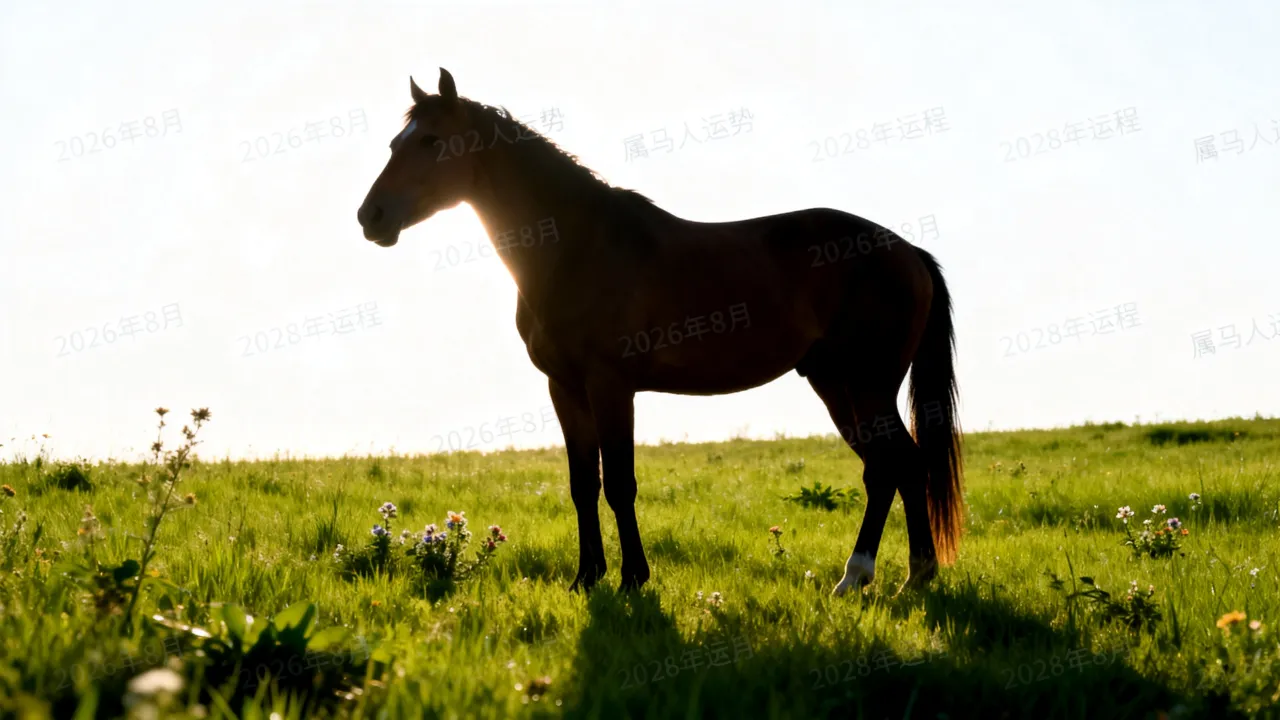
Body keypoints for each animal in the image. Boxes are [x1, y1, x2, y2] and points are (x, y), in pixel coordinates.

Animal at [356, 68, 964, 596]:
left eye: (431, 141)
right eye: (393, 142)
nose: (371, 217)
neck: (574, 249)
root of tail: (908, 252)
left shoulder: (610, 386)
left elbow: (620, 484)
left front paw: (633, 578)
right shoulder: (565, 388)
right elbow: (583, 485)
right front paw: (586, 579)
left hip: (866, 384)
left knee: (893, 466)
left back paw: (865, 576)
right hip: (835, 384)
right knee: (897, 466)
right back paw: (907, 578)